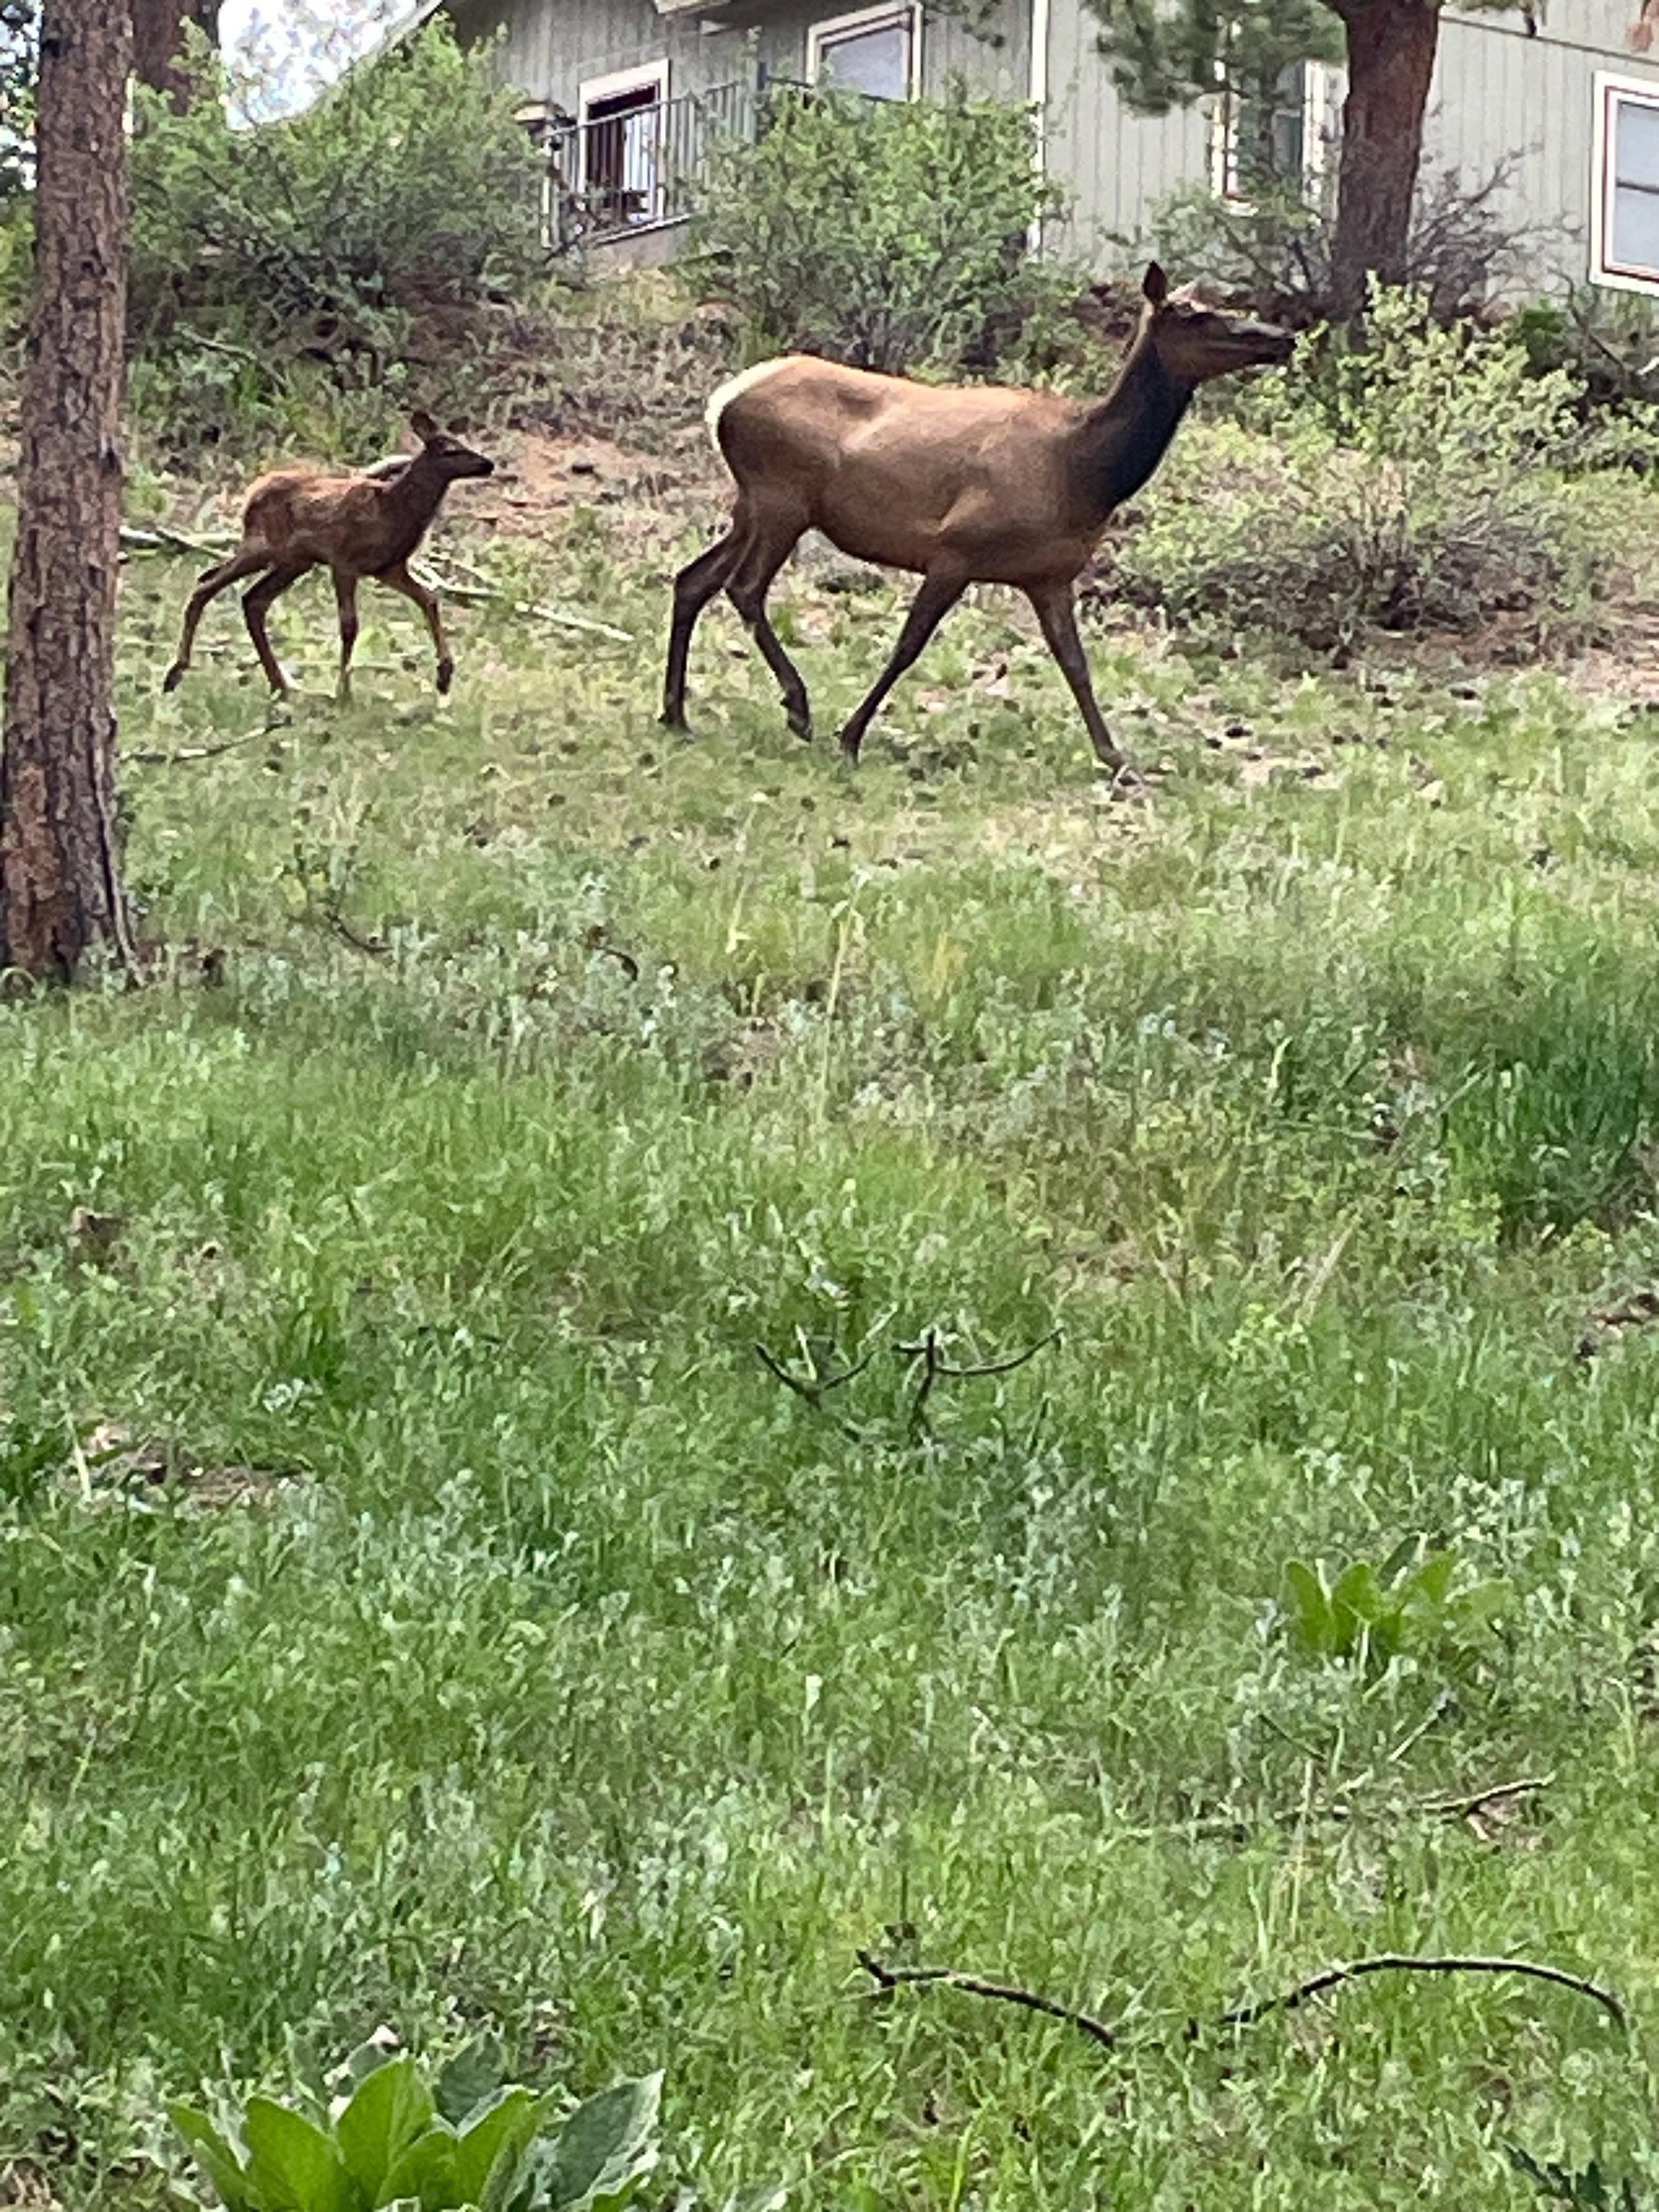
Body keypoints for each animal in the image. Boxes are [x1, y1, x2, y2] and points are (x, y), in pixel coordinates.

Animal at [162, 411, 495, 706]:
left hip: (293, 562)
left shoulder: (389, 568)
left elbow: (429, 599)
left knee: (251, 599)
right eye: (450, 449)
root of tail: (250, 495)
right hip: (263, 547)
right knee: (206, 585)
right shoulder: (344, 561)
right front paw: (343, 693)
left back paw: (278, 685)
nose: (488, 464)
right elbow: (350, 626)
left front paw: (445, 674)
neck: (396, 509)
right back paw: (175, 674)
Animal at [661, 265, 1295, 776]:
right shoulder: (956, 550)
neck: (1084, 472)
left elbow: (1076, 663)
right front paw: (852, 736)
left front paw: (1116, 758)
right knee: (743, 588)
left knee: (693, 579)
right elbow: (908, 645)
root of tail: (722, 402)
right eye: (1191, 315)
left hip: (752, 504)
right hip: (782, 499)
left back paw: (676, 715)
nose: (1281, 338)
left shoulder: (1050, 575)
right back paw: (797, 707)